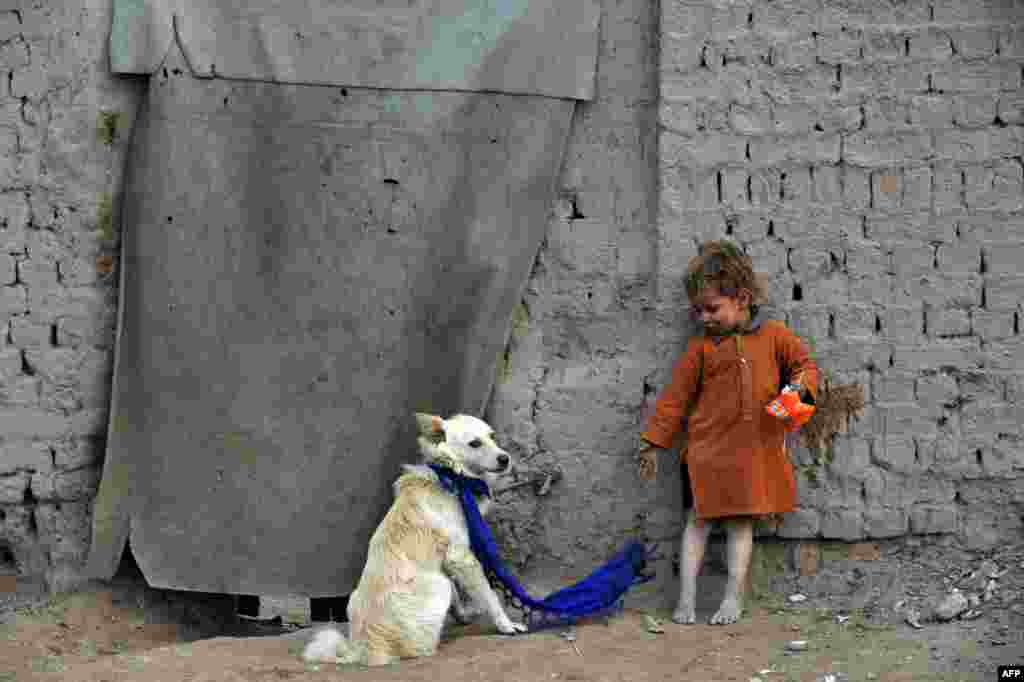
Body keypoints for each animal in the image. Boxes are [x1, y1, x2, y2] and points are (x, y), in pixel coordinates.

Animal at [301, 411, 528, 659]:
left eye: (492, 436)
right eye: (474, 443)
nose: (505, 458)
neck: (452, 476)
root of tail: (362, 649)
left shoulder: (446, 561)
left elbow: (459, 596)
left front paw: (464, 615)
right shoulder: (461, 557)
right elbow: (489, 594)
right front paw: (506, 625)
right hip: (439, 584)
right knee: (421, 648)